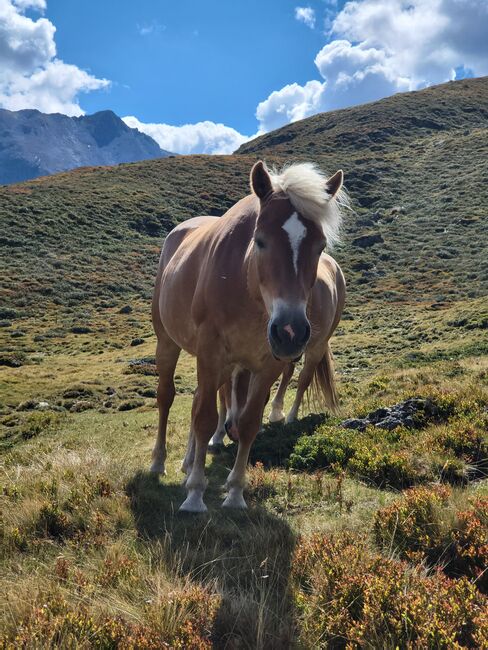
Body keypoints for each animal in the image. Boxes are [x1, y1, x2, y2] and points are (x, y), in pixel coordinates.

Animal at [151, 159, 346, 508]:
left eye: (320, 246)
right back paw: (160, 462)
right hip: (168, 343)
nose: (290, 331)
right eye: (260, 240)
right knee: (167, 398)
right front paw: (195, 494)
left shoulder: (267, 363)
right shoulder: (211, 352)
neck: (245, 286)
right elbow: (204, 417)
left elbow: (249, 422)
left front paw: (235, 491)